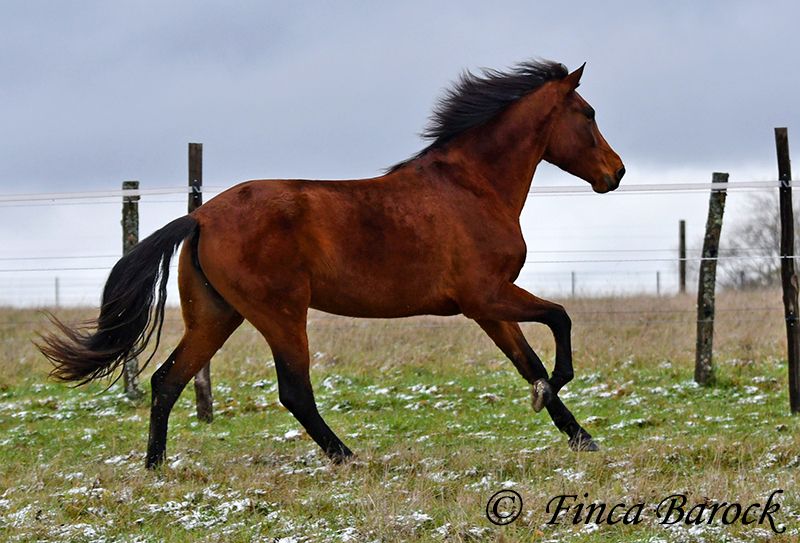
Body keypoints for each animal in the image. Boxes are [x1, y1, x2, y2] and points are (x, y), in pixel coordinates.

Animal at [39, 59, 624, 469]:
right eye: (589, 114)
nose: (615, 172)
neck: (471, 187)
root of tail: (201, 215)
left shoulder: (488, 307)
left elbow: (529, 360)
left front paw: (582, 438)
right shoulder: (487, 295)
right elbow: (559, 321)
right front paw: (556, 391)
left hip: (217, 315)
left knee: (167, 381)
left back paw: (155, 467)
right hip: (279, 313)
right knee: (293, 391)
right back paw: (347, 456)